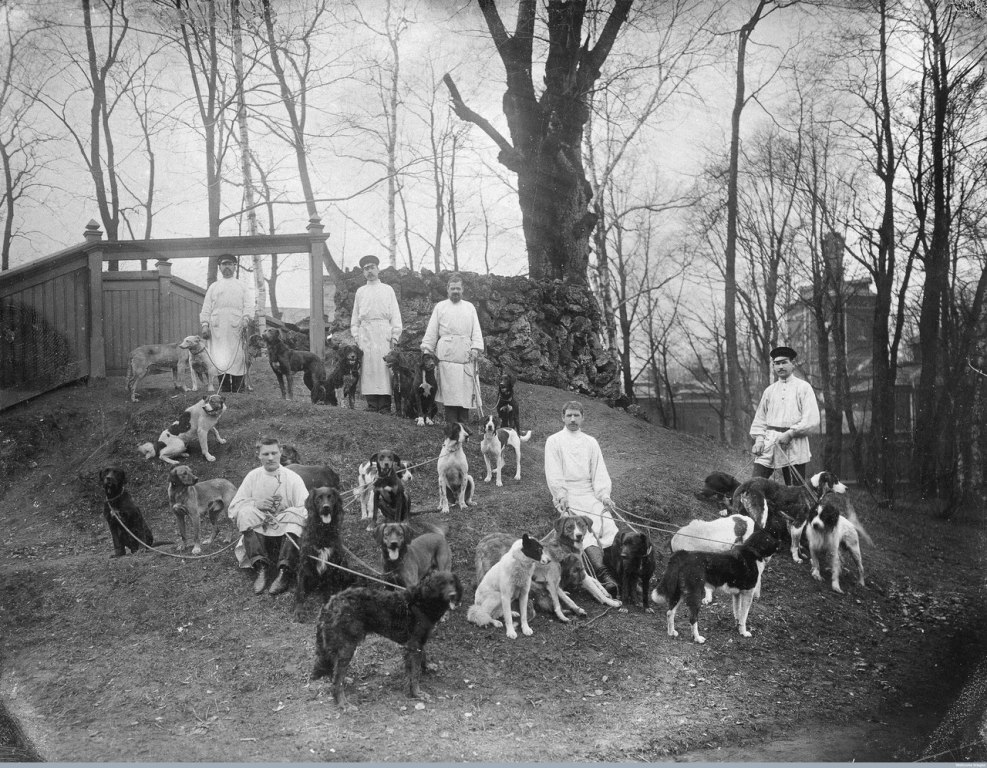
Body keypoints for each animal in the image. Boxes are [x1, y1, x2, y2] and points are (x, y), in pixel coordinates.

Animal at [293, 486, 353, 622]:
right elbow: (300, 590)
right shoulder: (304, 563)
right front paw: (299, 610)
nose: (326, 507)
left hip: (343, 563)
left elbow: (328, 590)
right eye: (318, 498)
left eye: (331, 497)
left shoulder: (332, 563)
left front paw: (326, 609)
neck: (322, 531)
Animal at [311, 570, 463, 706]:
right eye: (441, 584)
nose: (453, 595)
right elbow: (414, 673)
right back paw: (343, 703)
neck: (421, 601)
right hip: (347, 646)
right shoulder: (413, 644)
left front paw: (426, 667)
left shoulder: (419, 641)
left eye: (452, 582)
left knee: (333, 668)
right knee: (337, 678)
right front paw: (417, 693)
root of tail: (330, 603)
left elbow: (423, 657)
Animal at [651, 528, 779, 644]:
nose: (780, 543)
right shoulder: (747, 593)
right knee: (692, 619)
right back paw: (697, 638)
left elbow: (737, 613)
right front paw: (743, 632)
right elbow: (744, 616)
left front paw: (737, 627)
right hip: (695, 595)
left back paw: (671, 632)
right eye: (772, 537)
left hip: (680, 593)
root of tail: (684, 554)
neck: (753, 550)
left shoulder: (737, 594)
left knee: (670, 612)